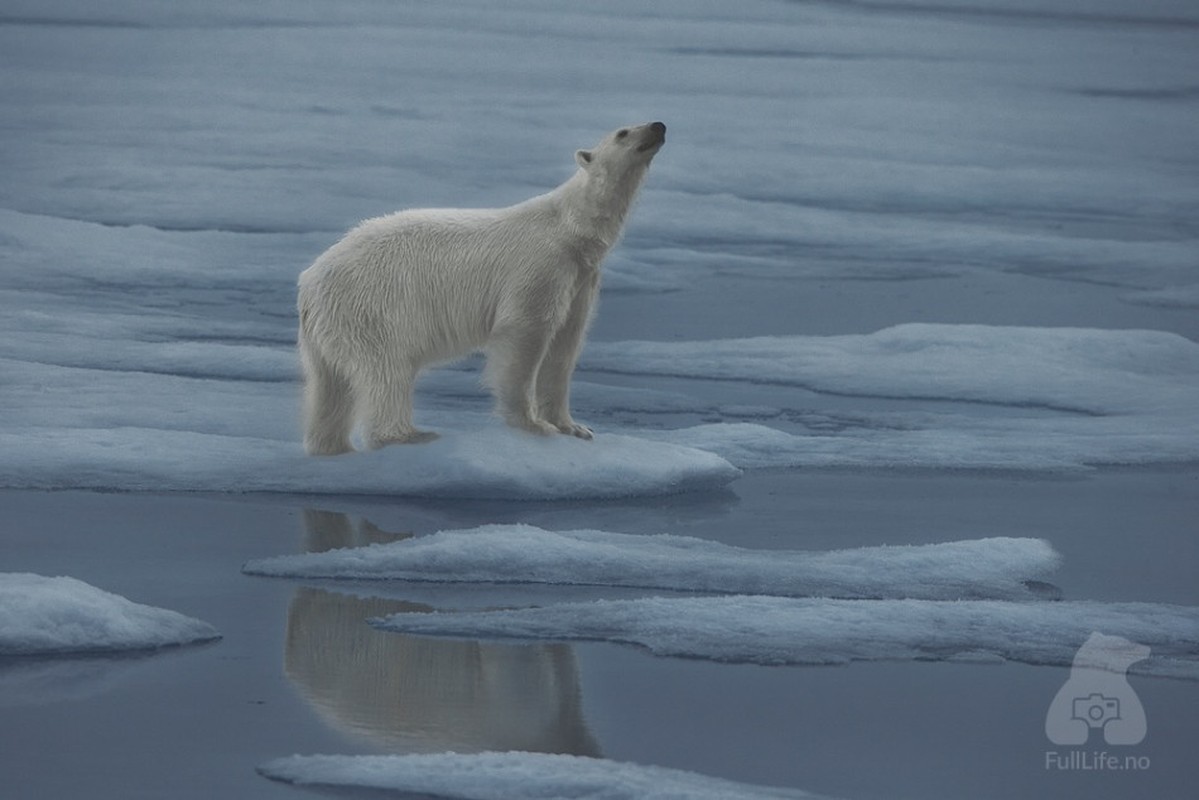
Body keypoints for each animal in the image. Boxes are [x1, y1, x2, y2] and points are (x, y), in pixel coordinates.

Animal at [292, 121, 666, 453]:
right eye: (623, 133)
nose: (658, 126)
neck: (571, 229)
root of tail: (308, 282)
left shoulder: (580, 279)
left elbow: (565, 345)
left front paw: (574, 427)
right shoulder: (542, 266)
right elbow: (526, 333)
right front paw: (533, 424)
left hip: (329, 331)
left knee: (329, 388)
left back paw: (331, 446)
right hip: (370, 308)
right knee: (386, 372)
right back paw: (409, 434)